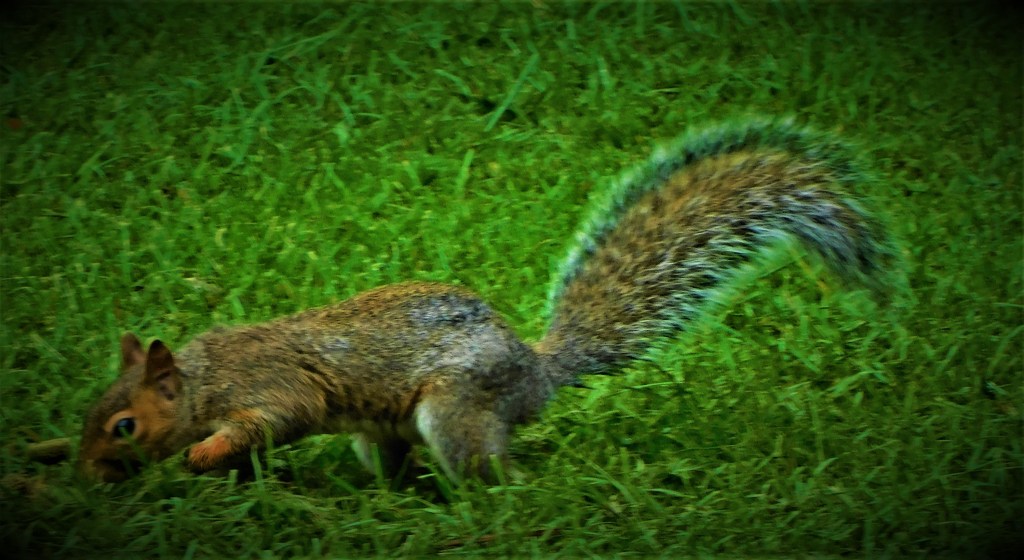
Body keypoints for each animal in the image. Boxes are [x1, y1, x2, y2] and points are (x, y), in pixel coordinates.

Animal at [77, 118, 899, 483]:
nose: (87, 472)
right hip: (386, 428)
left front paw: (205, 450)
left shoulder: (272, 387)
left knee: (485, 467)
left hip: (459, 405)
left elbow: (273, 420)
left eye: (123, 426)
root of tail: (535, 370)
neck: (204, 379)